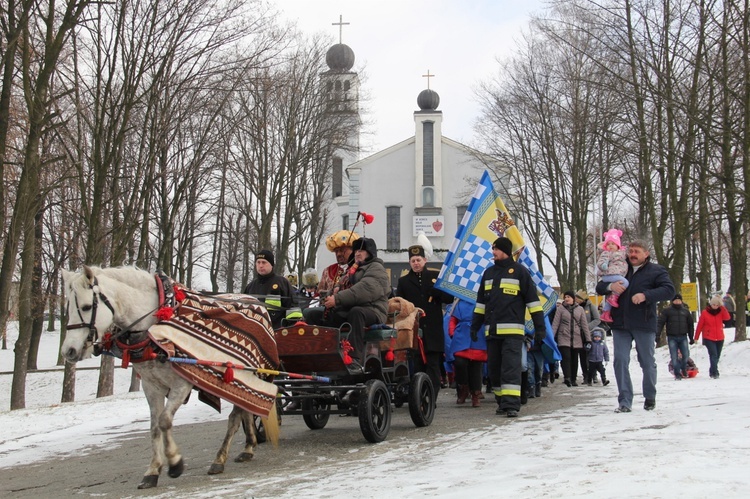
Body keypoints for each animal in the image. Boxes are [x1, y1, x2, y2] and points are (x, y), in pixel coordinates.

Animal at [61, 268, 280, 490]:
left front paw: (175, 463)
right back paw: (248, 447)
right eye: (68, 307)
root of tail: (256, 301)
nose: (69, 351)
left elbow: (165, 421)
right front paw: (152, 471)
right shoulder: (151, 385)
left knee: (236, 416)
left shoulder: (182, 382)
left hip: (243, 375)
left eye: (87, 307)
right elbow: (154, 427)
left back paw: (219, 459)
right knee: (246, 410)